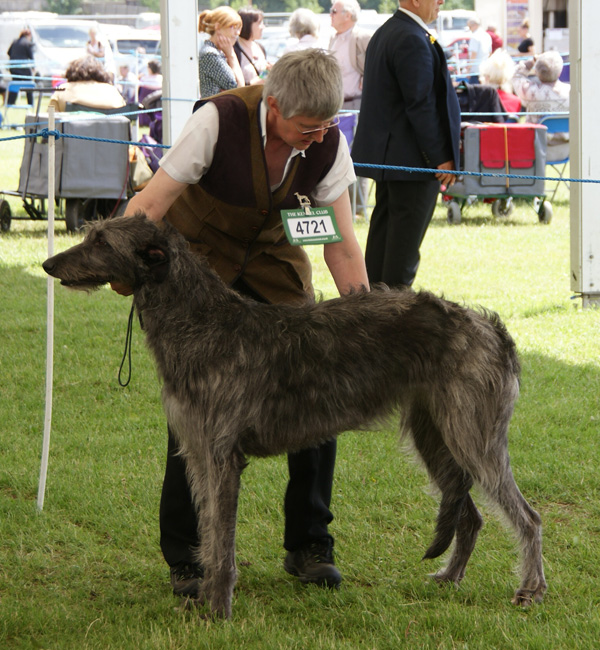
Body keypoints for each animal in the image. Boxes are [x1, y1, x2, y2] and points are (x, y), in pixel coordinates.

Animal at [43, 215, 548, 616]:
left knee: (527, 517)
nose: (48, 265)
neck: (201, 323)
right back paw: (450, 577)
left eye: (102, 241)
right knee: (471, 513)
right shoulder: (199, 453)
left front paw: (219, 609)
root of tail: (491, 327)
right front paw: (204, 594)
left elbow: (222, 540)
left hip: (473, 434)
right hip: (435, 434)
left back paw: (530, 590)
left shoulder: (222, 456)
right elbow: (208, 533)